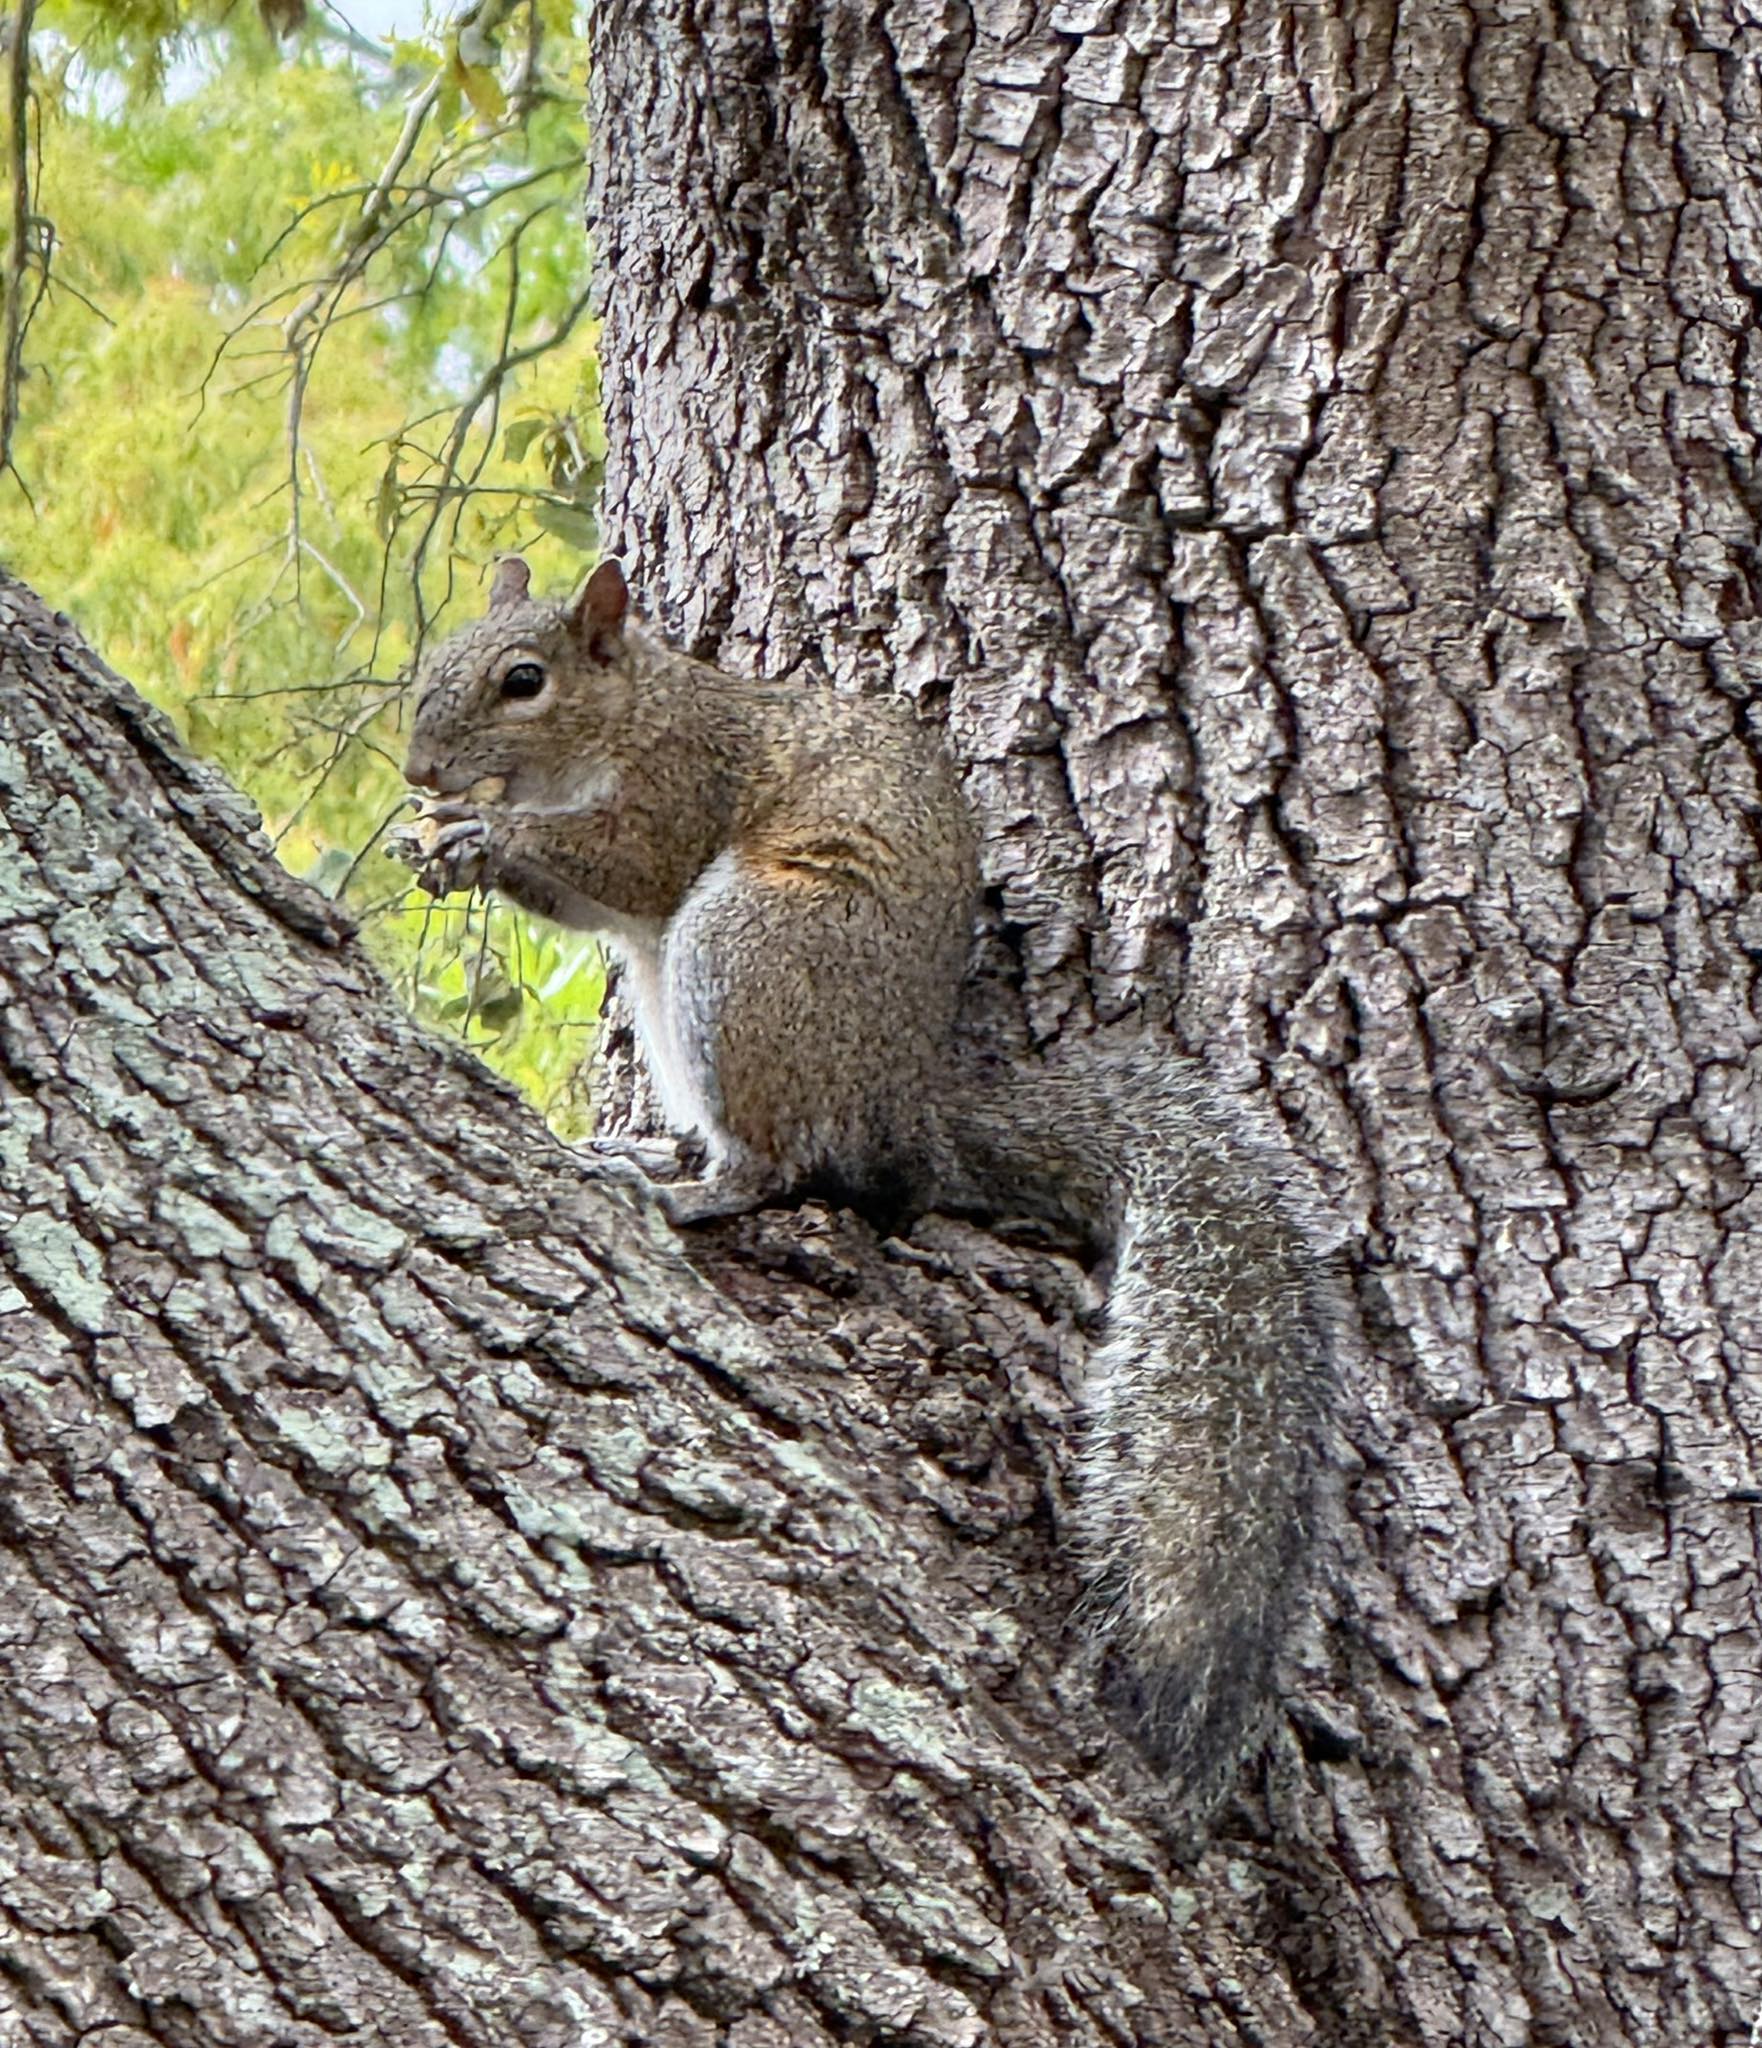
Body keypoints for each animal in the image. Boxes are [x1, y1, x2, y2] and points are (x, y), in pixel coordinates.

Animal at [397, 554, 1336, 1825]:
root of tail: (905, 1107)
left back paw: (698, 1191)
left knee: (784, 1161)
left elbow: (631, 863)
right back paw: (657, 1155)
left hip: (751, 945)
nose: (418, 771)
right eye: (438, 654)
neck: (638, 707)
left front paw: (482, 831)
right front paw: (449, 839)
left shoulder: (680, 789)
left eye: (523, 680)